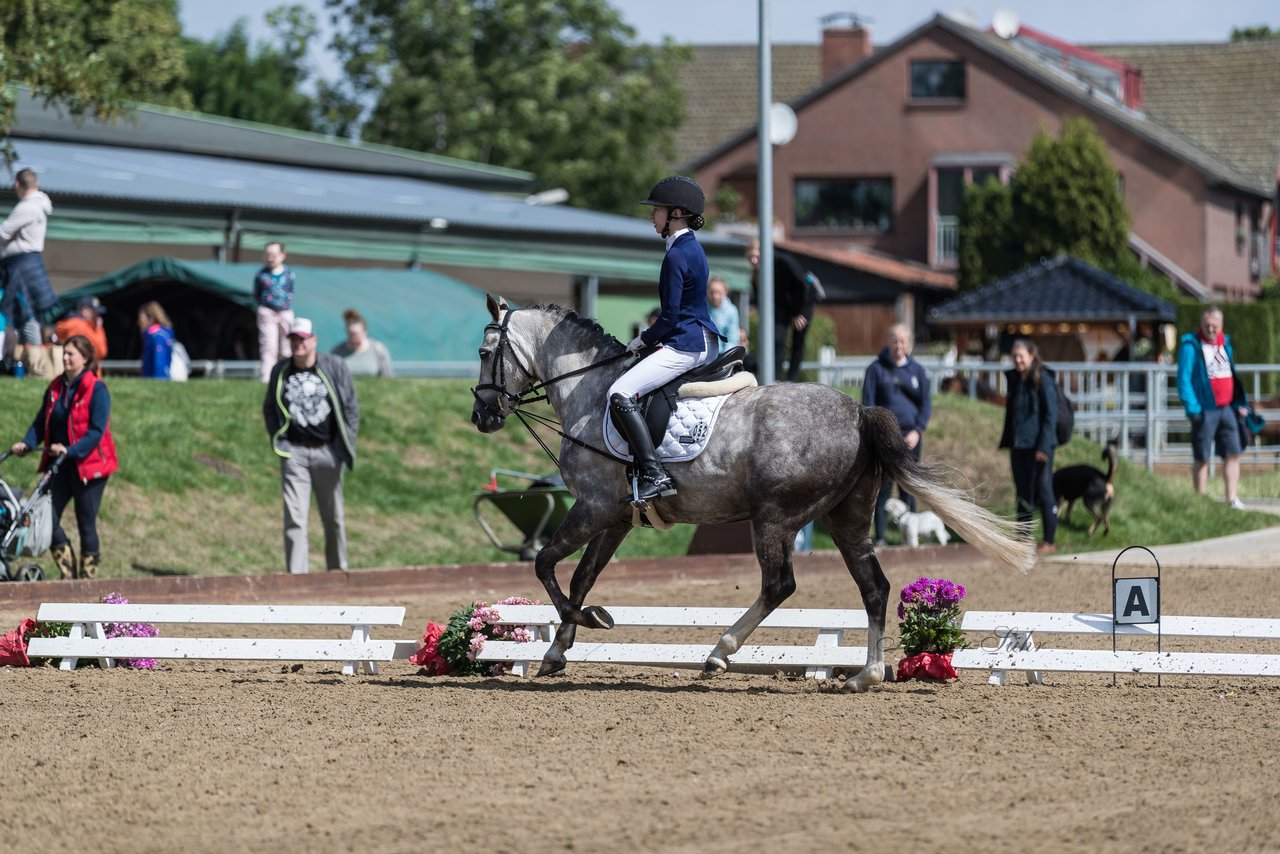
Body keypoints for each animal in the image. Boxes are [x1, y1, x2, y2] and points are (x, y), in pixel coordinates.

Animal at [476, 297, 1034, 691]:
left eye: (484, 353)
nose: (482, 415)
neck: (591, 393)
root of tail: (858, 411)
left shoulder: (592, 507)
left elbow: (546, 564)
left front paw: (586, 622)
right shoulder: (614, 517)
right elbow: (582, 576)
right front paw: (558, 650)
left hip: (774, 518)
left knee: (779, 585)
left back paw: (719, 652)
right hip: (846, 519)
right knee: (873, 587)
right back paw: (864, 676)